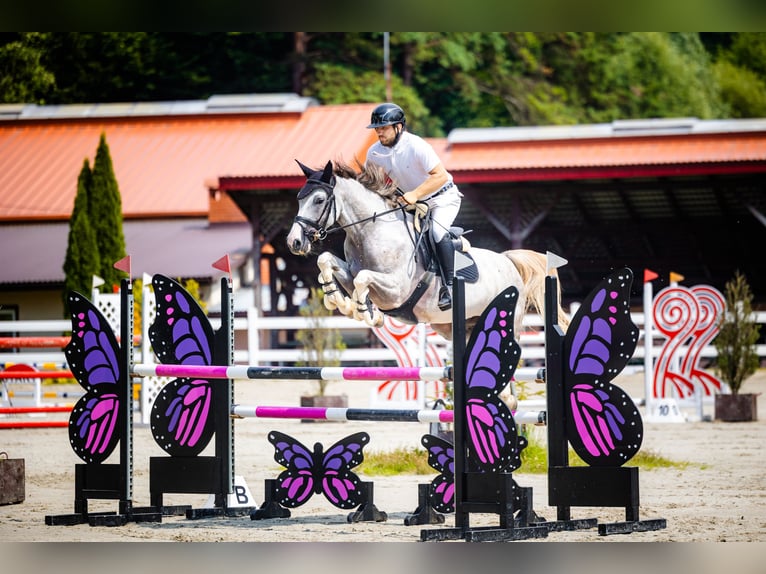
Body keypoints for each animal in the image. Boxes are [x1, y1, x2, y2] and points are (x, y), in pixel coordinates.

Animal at [284, 159, 568, 342]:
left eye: (319, 200)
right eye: (298, 198)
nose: (293, 242)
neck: (370, 231)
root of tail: (509, 262)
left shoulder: (396, 289)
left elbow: (362, 279)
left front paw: (364, 311)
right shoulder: (351, 272)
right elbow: (327, 261)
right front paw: (337, 300)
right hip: (454, 326)